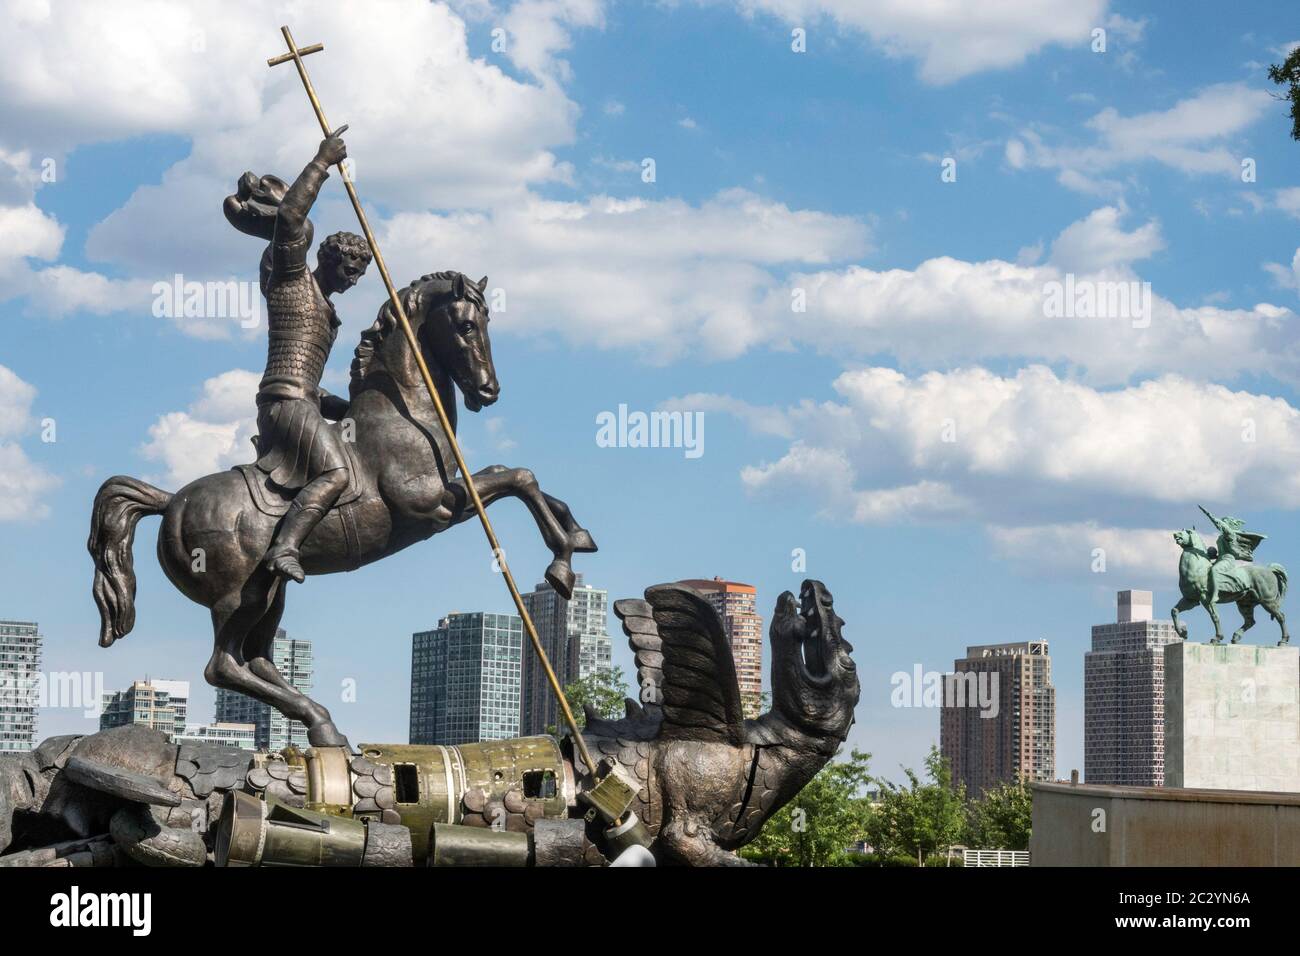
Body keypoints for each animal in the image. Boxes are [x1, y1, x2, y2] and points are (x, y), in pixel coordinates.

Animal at [89, 269, 595, 749]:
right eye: (467, 326)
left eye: (487, 321)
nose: (489, 391)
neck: (403, 414)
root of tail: (171, 502)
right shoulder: (431, 507)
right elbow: (516, 478)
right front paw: (561, 566)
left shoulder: (449, 494)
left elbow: (513, 472)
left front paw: (576, 538)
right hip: (235, 596)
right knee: (223, 666)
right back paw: (320, 723)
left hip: (270, 591)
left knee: (258, 658)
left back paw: (322, 722)